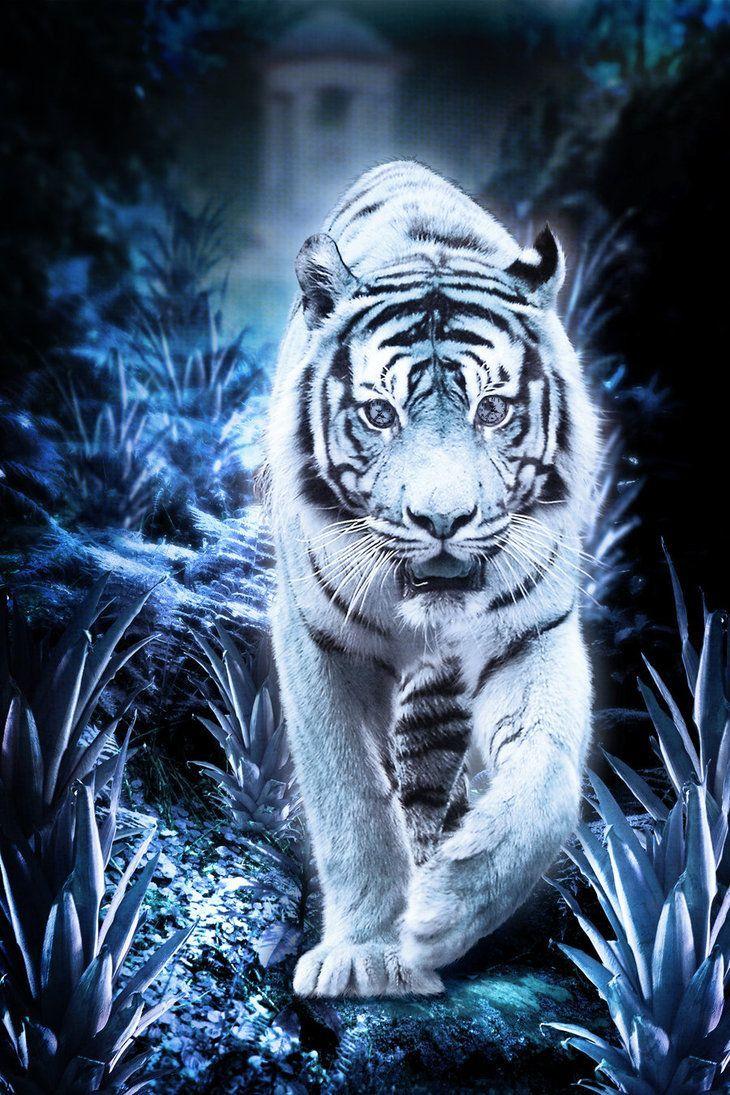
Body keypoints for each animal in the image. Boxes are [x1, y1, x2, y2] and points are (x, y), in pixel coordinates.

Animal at [266, 160, 599, 997]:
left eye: (493, 409)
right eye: (380, 414)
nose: (442, 518)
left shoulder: (534, 629)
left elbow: (546, 776)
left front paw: (446, 908)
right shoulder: (317, 638)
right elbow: (350, 797)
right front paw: (370, 950)